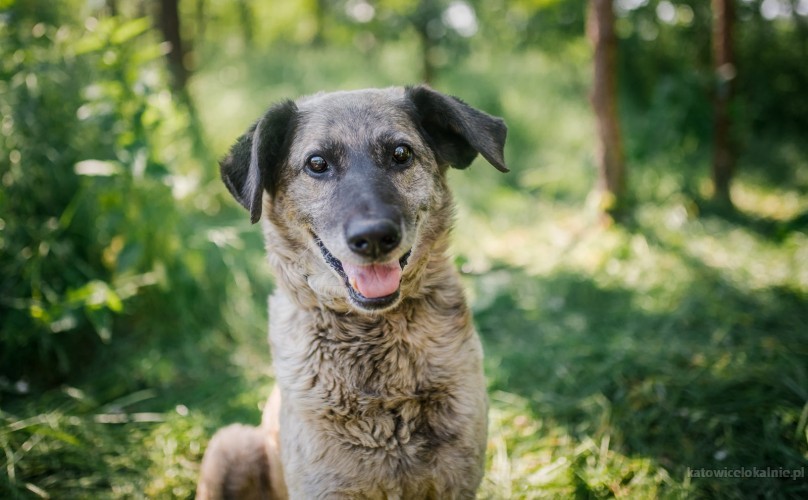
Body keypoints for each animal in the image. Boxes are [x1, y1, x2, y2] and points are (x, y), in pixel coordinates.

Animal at [196, 87, 508, 500]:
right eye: (317, 163)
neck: (372, 339)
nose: (374, 236)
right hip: (231, 444)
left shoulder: (456, 482)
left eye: (401, 154)